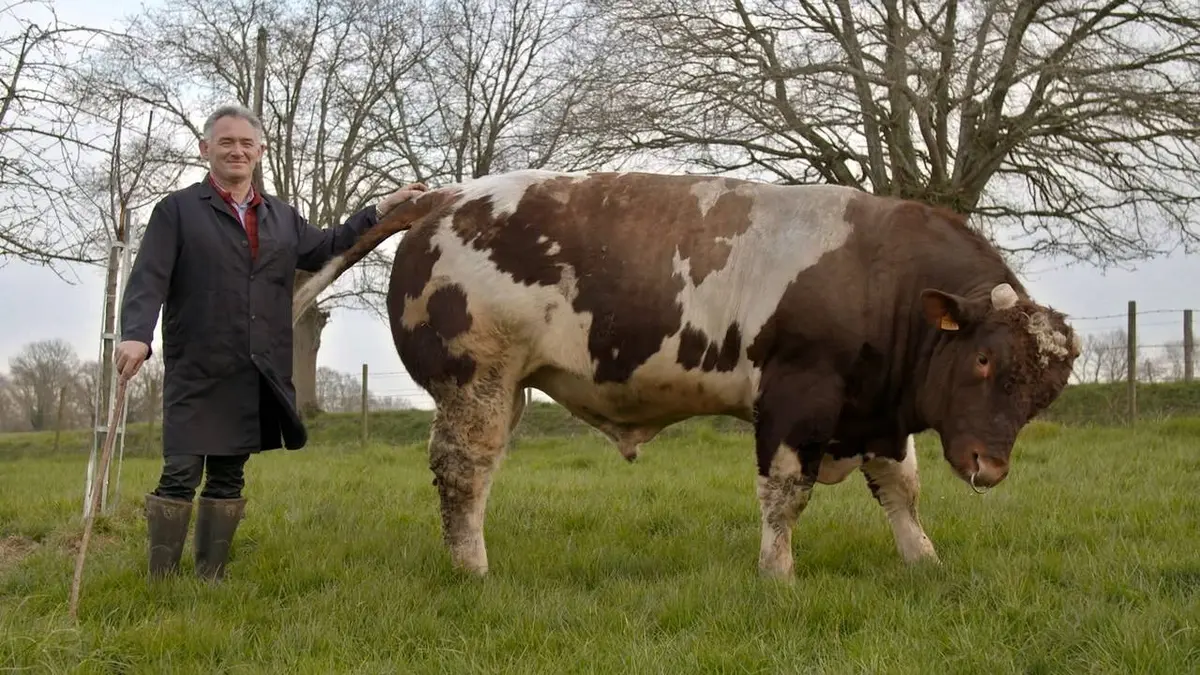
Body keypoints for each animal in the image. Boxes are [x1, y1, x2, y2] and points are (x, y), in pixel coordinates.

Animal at [292, 169, 1081, 578]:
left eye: (1044, 393)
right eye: (983, 359)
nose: (988, 466)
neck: (878, 275)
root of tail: (450, 196)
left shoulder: (878, 414)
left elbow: (901, 489)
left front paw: (923, 561)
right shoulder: (795, 401)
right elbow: (785, 494)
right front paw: (778, 573)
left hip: (500, 387)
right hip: (476, 380)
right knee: (464, 471)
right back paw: (472, 568)